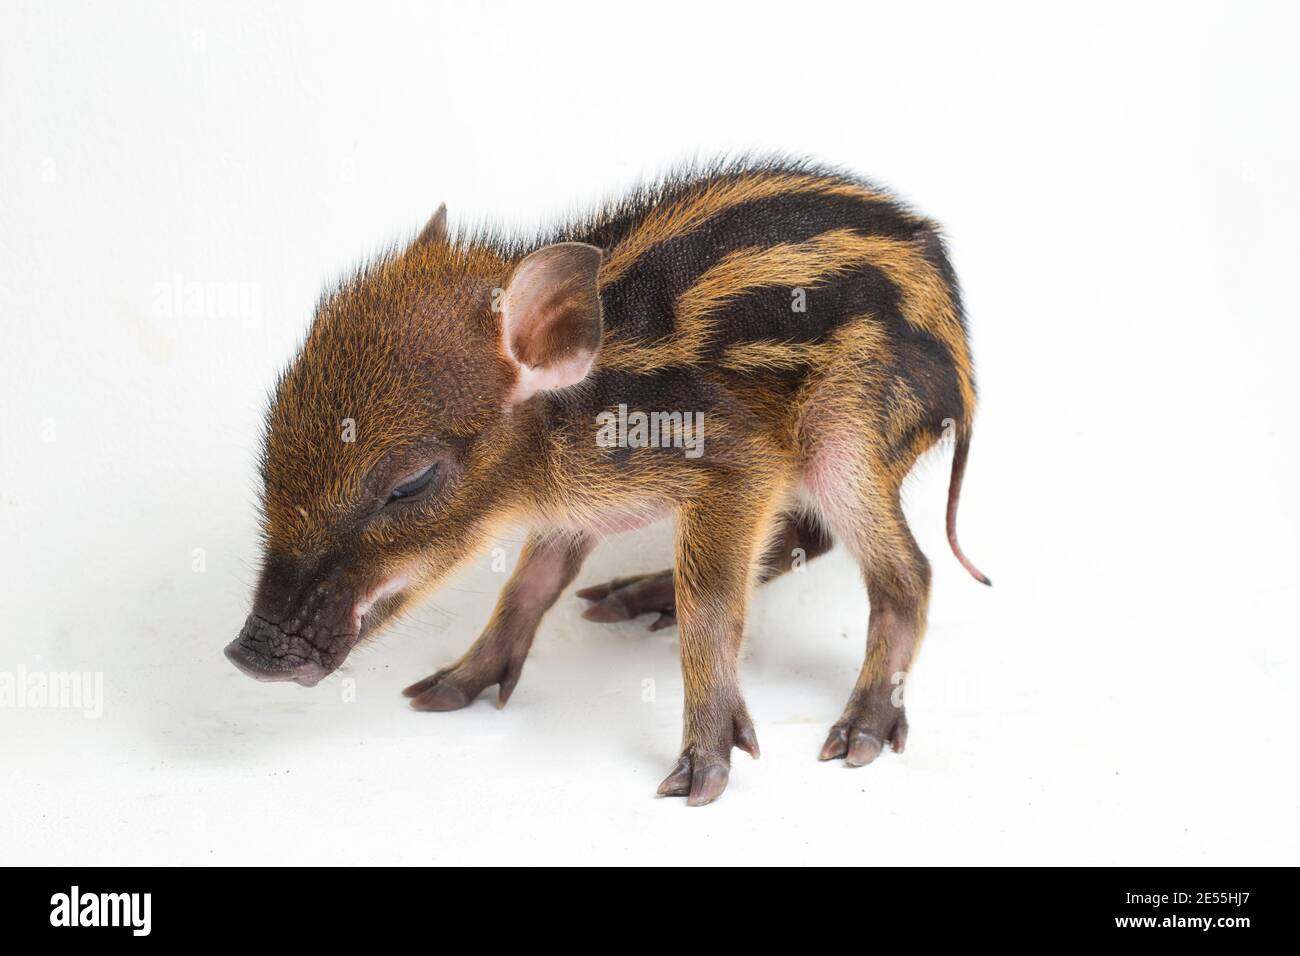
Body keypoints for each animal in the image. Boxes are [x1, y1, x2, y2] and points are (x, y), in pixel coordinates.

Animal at [225, 157, 989, 806]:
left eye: (411, 483)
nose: (249, 654)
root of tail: (964, 375)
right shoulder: (577, 511)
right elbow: (530, 585)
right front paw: (447, 689)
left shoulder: (738, 464)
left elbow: (711, 605)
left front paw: (701, 775)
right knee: (811, 535)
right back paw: (631, 598)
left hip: (846, 438)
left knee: (907, 573)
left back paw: (860, 733)